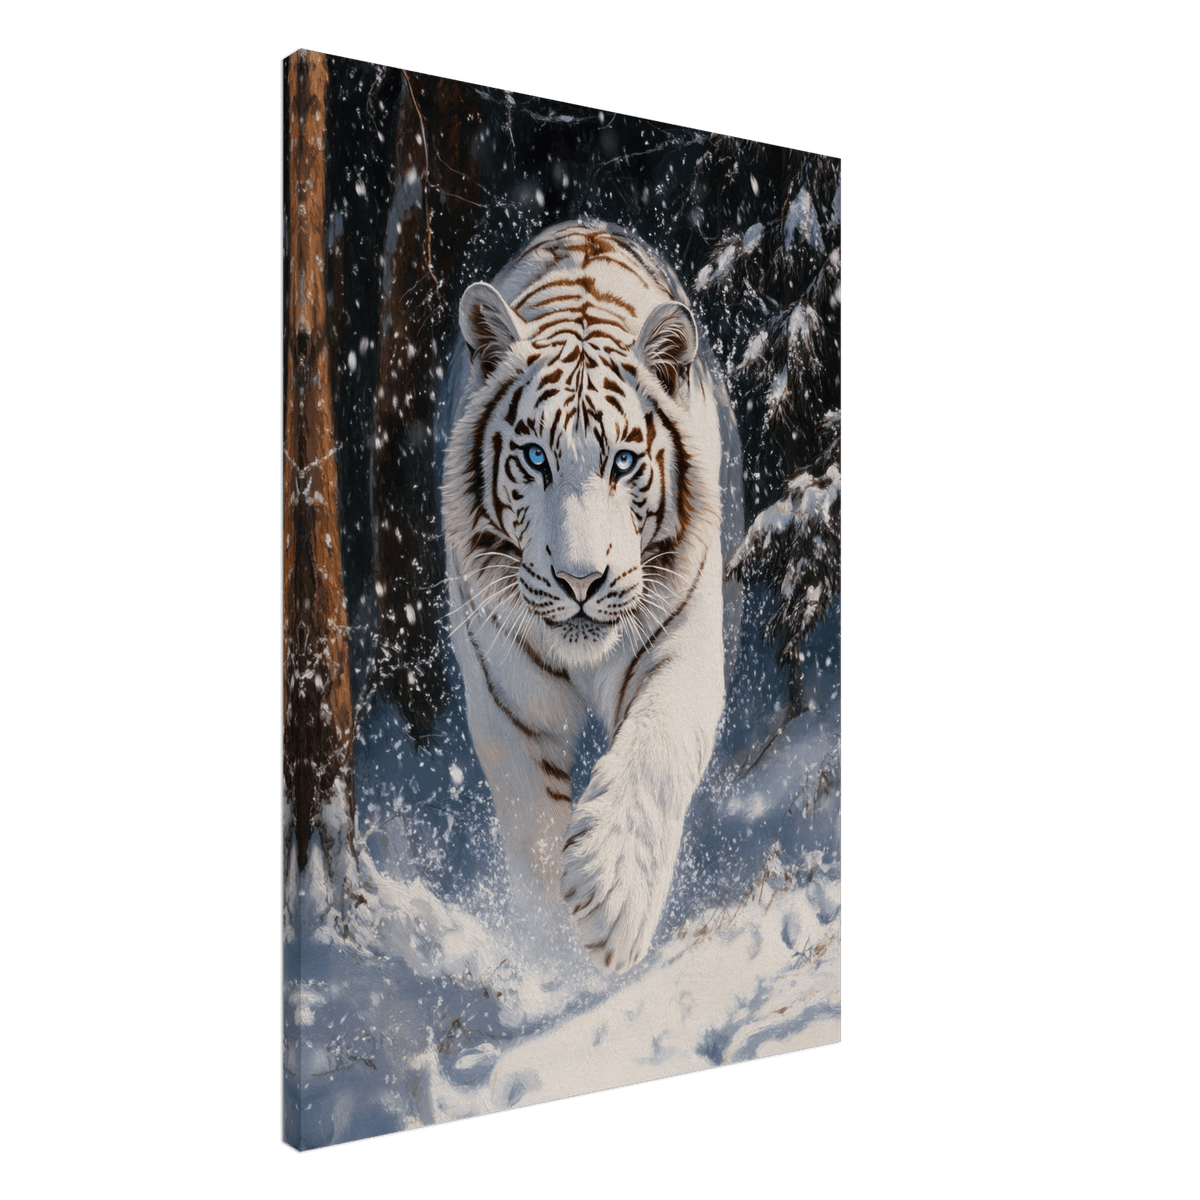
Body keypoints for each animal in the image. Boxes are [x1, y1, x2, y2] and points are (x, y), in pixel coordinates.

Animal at [441, 220, 741, 973]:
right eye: (535, 459)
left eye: (624, 462)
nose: (581, 581)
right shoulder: (506, 695)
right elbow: (530, 818)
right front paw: (555, 948)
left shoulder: (683, 647)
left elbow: (656, 751)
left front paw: (611, 899)